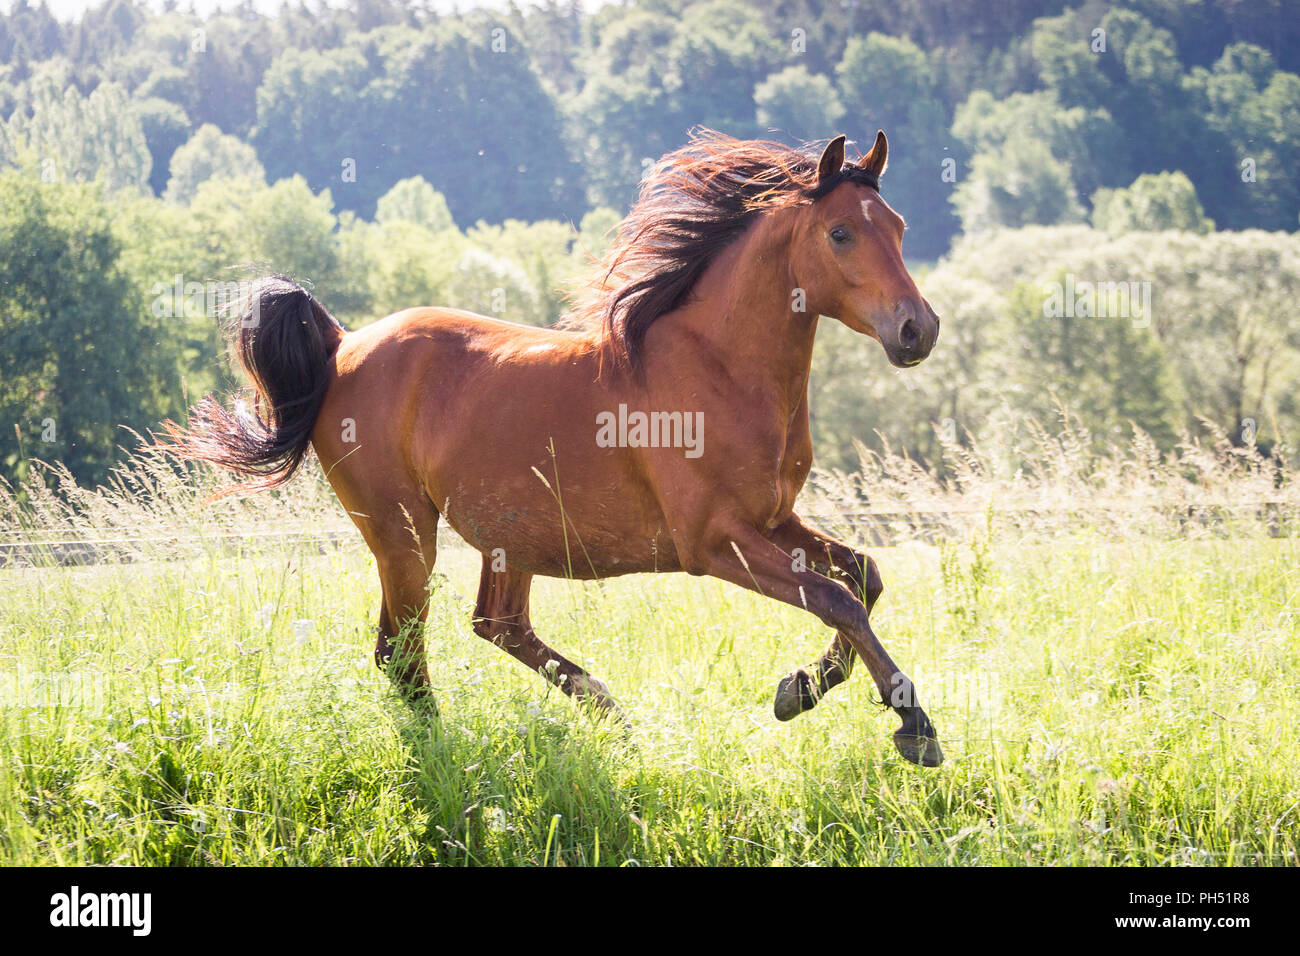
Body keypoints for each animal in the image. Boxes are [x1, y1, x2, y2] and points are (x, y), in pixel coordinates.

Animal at [167, 130, 951, 764]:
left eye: (900, 227)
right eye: (841, 234)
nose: (918, 329)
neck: (720, 366)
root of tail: (341, 344)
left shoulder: (773, 519)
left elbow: (864, 578)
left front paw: (801, 688)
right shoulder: (713, 541)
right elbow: (835, 598)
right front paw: (913, 727)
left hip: (509, 536)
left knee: (493, 625)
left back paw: (610, 714)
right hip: (403, 533)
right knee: (403, 652)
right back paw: (453, 751)